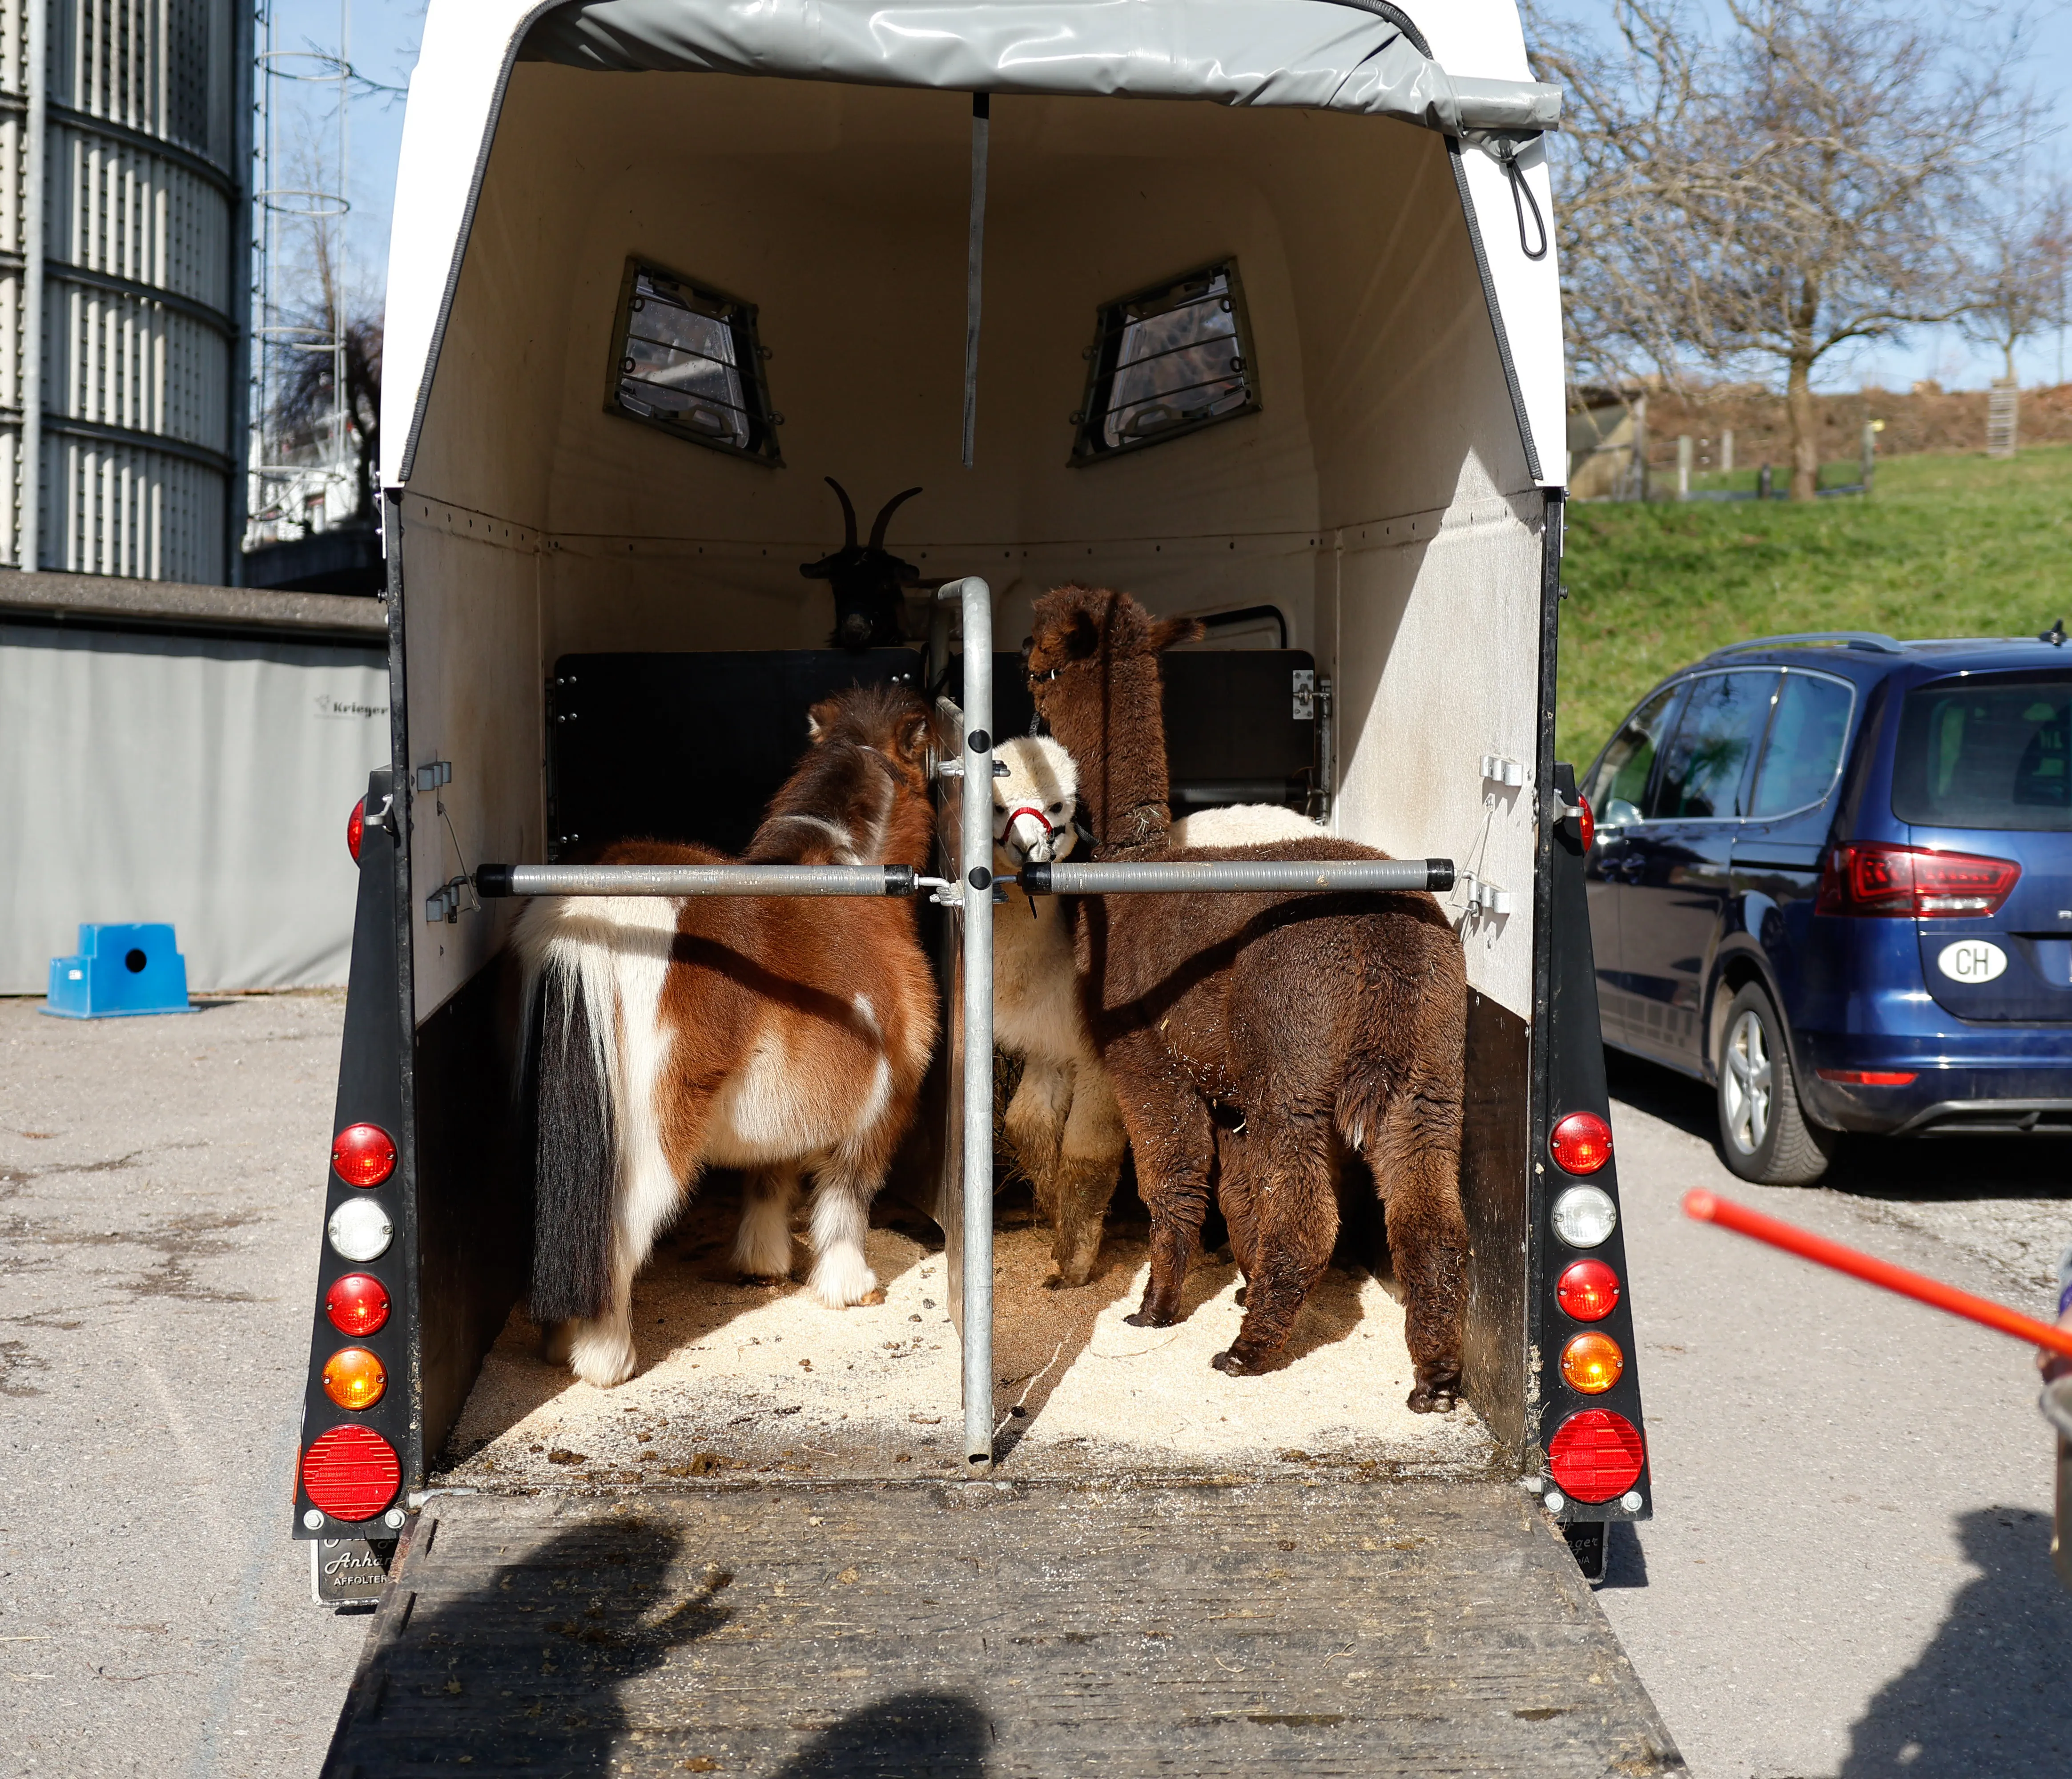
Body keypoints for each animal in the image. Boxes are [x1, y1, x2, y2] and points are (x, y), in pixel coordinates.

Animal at [518, 683, 941, 1392]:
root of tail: (593, 913)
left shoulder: (786, 1107)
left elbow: (767, 1178)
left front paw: (762, 1262)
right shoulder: (881, 1110)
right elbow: (847, 1198)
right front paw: (848, 1285)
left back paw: (557, 1345)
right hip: (655, 1146)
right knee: (614, 1236)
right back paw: (607, 1359)